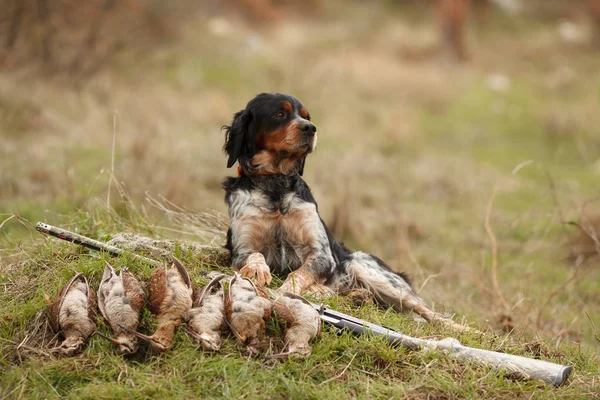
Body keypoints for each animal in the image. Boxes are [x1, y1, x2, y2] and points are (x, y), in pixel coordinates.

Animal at [223, 94, 472, 332]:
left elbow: (296, 276)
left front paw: (285, 293)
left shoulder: (322, 255)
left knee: (429, 312)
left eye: (306, 116)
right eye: (280, 114)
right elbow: (255, 256)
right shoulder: (241, 249)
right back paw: (356, 296)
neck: (275, 184)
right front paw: (258, 271)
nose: (310, 128)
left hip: (368, 270)